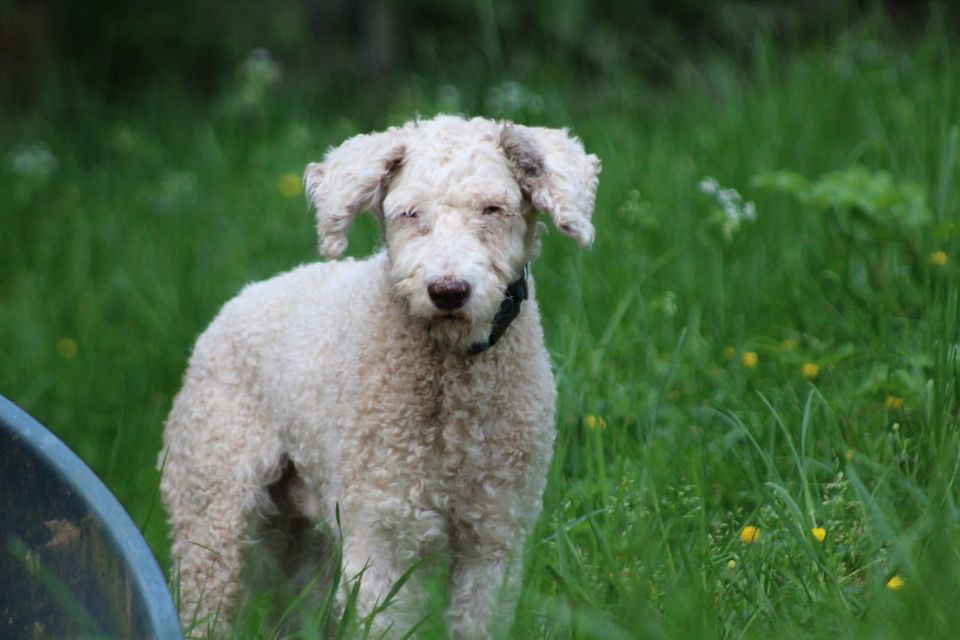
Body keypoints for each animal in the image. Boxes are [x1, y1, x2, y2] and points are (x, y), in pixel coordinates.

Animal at [163, 114, 600, 636]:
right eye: (409, 213)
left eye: (494, 208)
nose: (448, 291)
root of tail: (235, 302)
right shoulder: (382, 534)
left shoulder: (495, 536)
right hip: (213, 508)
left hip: (301, 537)